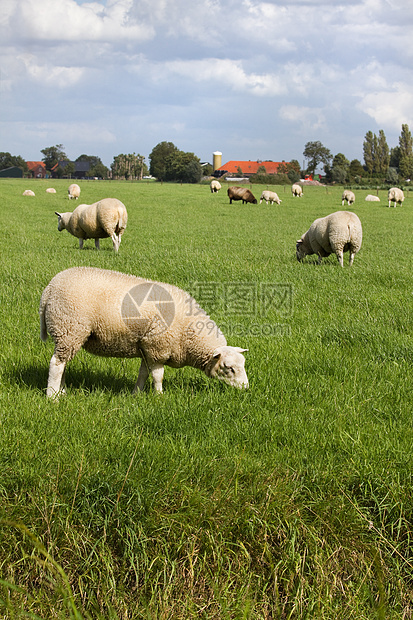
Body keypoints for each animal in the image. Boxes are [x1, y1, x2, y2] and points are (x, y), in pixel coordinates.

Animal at [39, 266, 248, 398]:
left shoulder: (147, 348)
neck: (188, 333)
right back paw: (52, 397)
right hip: (69, 328)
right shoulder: (157, 347)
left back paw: (61, 391)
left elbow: (143, 374)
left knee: (63, 363)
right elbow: (157, 375)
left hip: (69, 335)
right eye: (229, 368)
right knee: (56, 364)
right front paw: (159, 396)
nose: (246, 388)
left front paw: (136, 394)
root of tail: (49, 288)